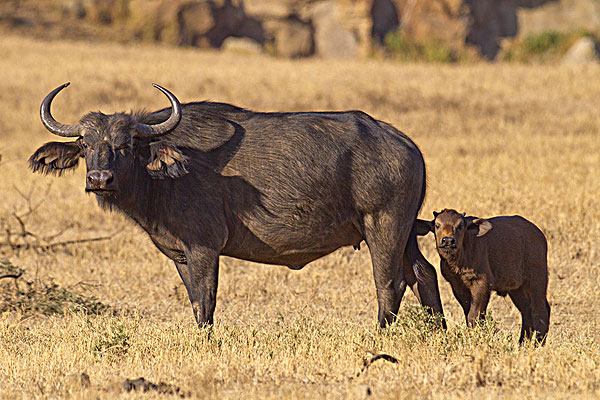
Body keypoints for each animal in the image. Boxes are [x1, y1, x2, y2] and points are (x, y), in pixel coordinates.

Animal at [30, 83, 442, 328]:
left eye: (127, 144)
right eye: (85, 144)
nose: (100, 179)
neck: (166, 175)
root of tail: (408, 144)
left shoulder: (205, 248)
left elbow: (206, 301)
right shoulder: (181, 256)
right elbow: (194, 300)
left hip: (383, 228)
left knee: (390, 283)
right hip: (406, 232)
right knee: (424, 273)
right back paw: (438, 330)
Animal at [418, 209, 548, 344]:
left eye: (460, 226)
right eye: (437, 225)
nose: (448, 240)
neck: (461, 258)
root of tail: (539, 235)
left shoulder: (482, 283)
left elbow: (474, 314)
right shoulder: (457, 285)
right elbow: (468, 312)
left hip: (536, 280)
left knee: (540, 310)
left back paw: (538, 343)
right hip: (517, 288)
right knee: (526, 310)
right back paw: (523, 343)